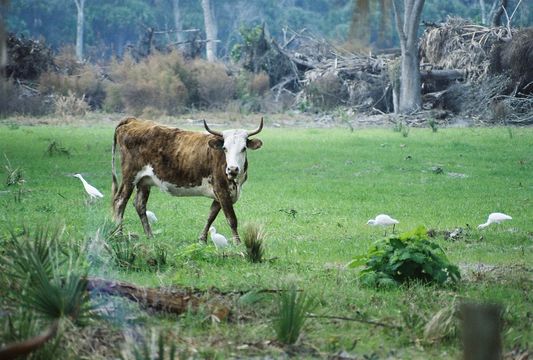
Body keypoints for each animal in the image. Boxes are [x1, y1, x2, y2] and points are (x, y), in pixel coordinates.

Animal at [111, 116, 262, 243]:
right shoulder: (222, 190)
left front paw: (202, 239)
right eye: (225, 148)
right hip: (130, 176)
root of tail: (133, 120)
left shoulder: (221, 194)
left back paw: (150, 236)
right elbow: (231, 219)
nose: (232, 169)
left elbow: (211, 215)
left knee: (139, 205)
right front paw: (238, 243)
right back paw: (118, 234)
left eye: (243, 148)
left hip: (144, 181)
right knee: (120, 201)